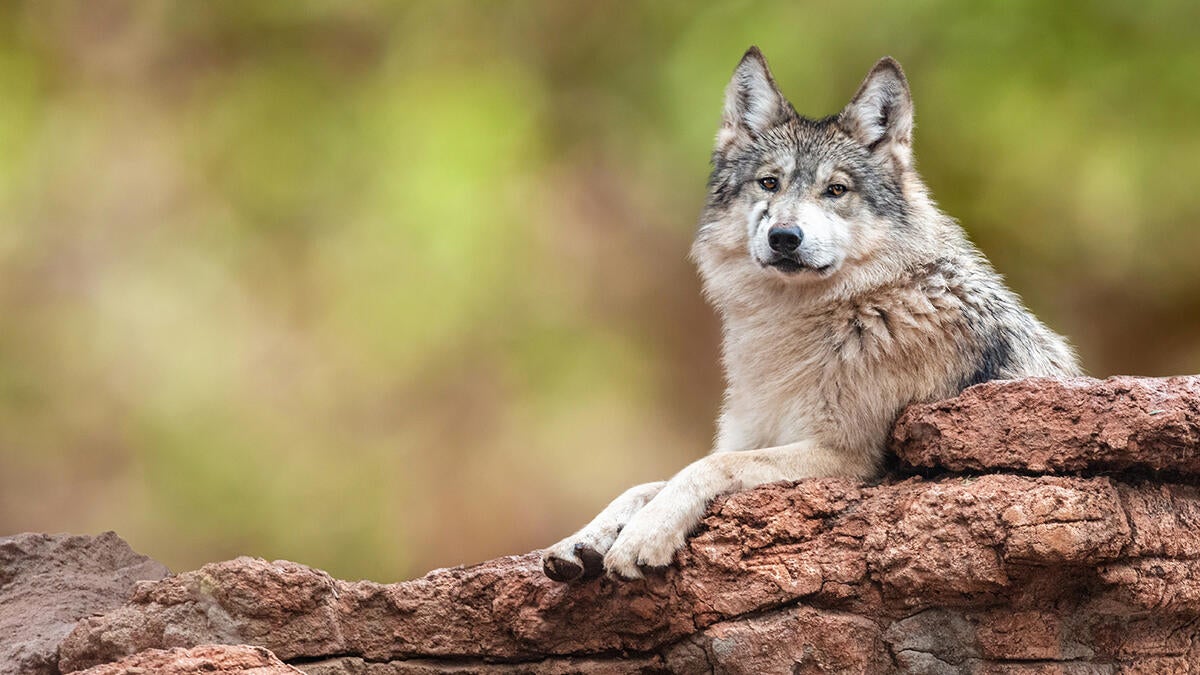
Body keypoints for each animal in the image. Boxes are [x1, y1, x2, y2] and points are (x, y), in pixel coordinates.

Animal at [542, 49, 1080, 581]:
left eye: (836, 190)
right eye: (769, 183)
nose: (784, 237)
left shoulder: (845, 457)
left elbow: (707, 468)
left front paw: (643, 537)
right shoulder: (753, 435)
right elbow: (646, 484)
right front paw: (579, 541)